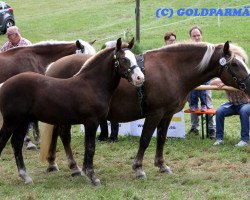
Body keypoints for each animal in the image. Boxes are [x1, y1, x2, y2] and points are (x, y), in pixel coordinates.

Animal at [0, 38, 145, 186]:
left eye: (135, 57)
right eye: (124, 59)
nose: (140, 78)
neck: (92, 85)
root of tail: (4, 85)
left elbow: (87, 147)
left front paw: (85, 172)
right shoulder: (92, 122)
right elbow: (91, 147)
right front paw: (93, 177)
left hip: (22, 122)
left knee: (16, 143)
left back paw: (25, 176)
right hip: (11, 122)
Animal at [43, 40, 250, 181]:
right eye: (234, 64)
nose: (249, 84)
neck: (172, 69)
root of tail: (53, 66)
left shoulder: (167, 114)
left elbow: (161, 139)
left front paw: (162, 165)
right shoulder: (155, 113)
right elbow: (144, 140)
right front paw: (138, 168)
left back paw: (56, 163)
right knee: (64, 136)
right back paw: (73, 166)